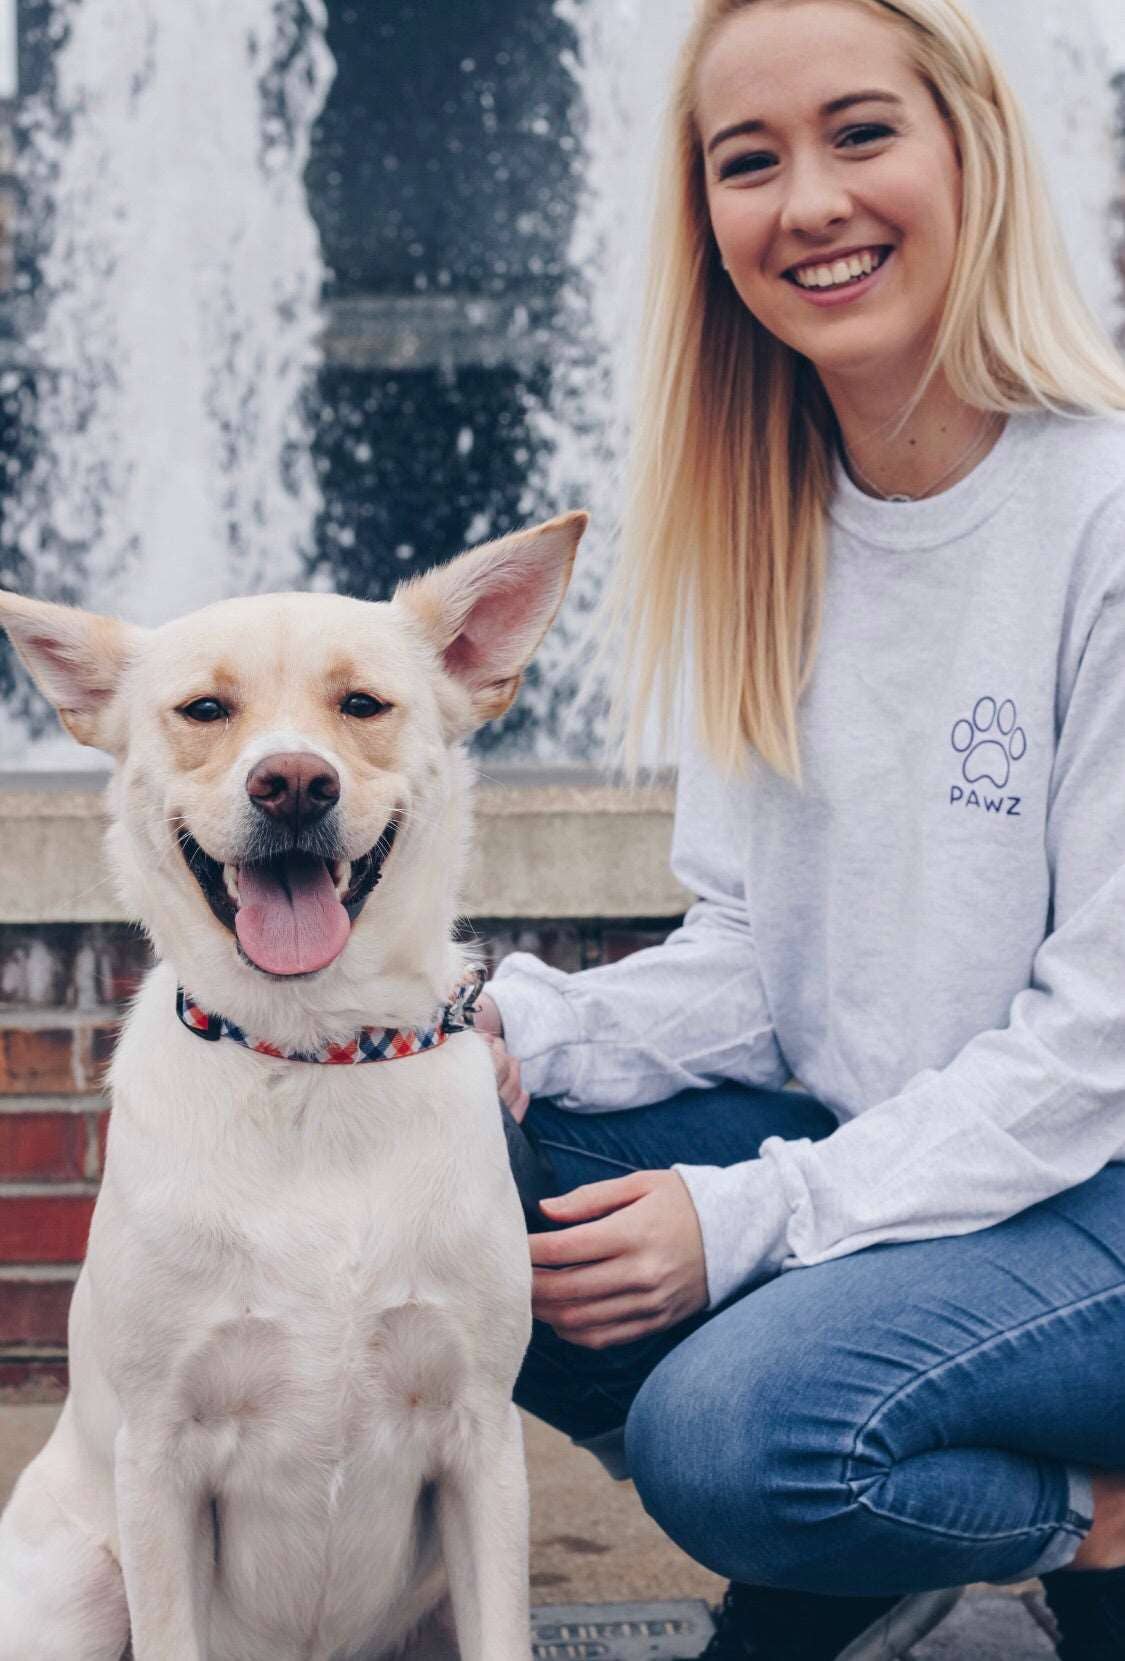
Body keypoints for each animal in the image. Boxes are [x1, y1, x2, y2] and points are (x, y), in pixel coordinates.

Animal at [0, 509, 586, 1661]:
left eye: (360, 704)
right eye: (205, 710)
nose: (293, 783)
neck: (314, 1060)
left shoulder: (480, 1441)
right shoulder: (159, 1459)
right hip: (81, 1585)